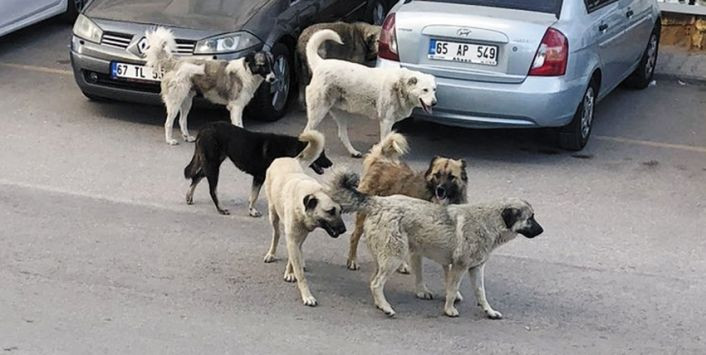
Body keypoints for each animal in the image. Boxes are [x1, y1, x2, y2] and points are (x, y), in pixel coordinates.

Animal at [144, 26, 274, 146]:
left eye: (272, 65)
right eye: (262, 65)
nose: (273, 79)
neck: (247, 72)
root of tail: (176, 63)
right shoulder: (236, 107)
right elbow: (239, 126)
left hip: (186, 101)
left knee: (182, 120)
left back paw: (187, 137)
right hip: (175, 101)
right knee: (168, 123)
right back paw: (169, 140)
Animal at [184, 122, 332, 217]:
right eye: (321, 154)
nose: (331, 164)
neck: (288, 148)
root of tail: (204, 128)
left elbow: (253, 196)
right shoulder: (260, 177)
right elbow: (254, 196)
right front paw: (253, 211)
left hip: (211, 164)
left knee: (196, 176)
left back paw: (189, 196)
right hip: (213, 166)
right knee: (212, 190)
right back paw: (220, 209)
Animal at [302, 29, 434, 158]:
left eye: (434, 89)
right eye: (425, 90)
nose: (434, 103)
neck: (401, 85)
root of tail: (320, 64)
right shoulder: (386, 122)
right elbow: (384, 142)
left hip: (341, 113)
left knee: (342, 134)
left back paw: (353, 152)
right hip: (318, 113)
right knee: (306, 132)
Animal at [328, 171, 540, 318]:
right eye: (530, 218)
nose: (542, 230)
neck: (489, 222)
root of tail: (379, 202)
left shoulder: (475, 269)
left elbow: (481, 293)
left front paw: (489, 311)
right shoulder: (459, 267)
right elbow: (452, 290)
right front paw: (449, 309)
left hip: (385, 258)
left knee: (374, 282)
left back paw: (381, 304)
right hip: (394, 258)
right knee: (376, 283)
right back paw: (387, 308)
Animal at [346, 134, 468, 272]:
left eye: (451, 177)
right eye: (437, 175)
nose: (440, 190)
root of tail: (381, 161)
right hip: (365, 215)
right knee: (354, 236)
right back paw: (353, 260)